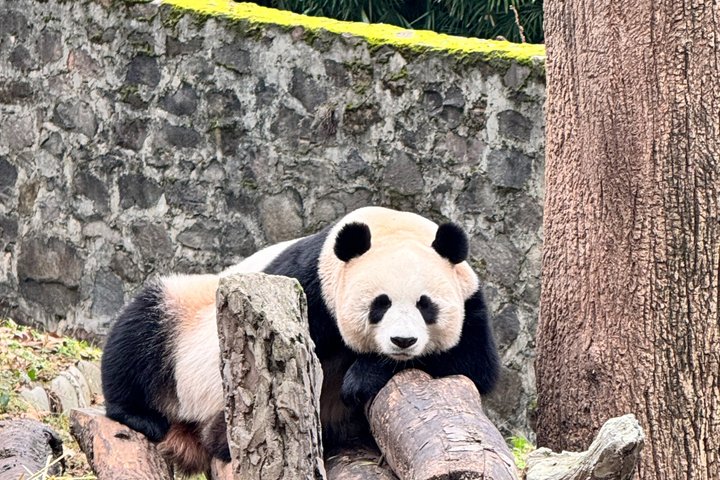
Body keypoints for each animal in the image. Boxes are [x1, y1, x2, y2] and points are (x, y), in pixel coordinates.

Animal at [101, 206, 499, 473]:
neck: (387, 225)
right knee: (140, 330)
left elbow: (474, 366)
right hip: (186, 317)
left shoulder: (470, 301)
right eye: (380, 304)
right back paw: (141, 415)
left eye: (425, 304)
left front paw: (362, 376)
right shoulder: (305, 284)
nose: (403, 341)